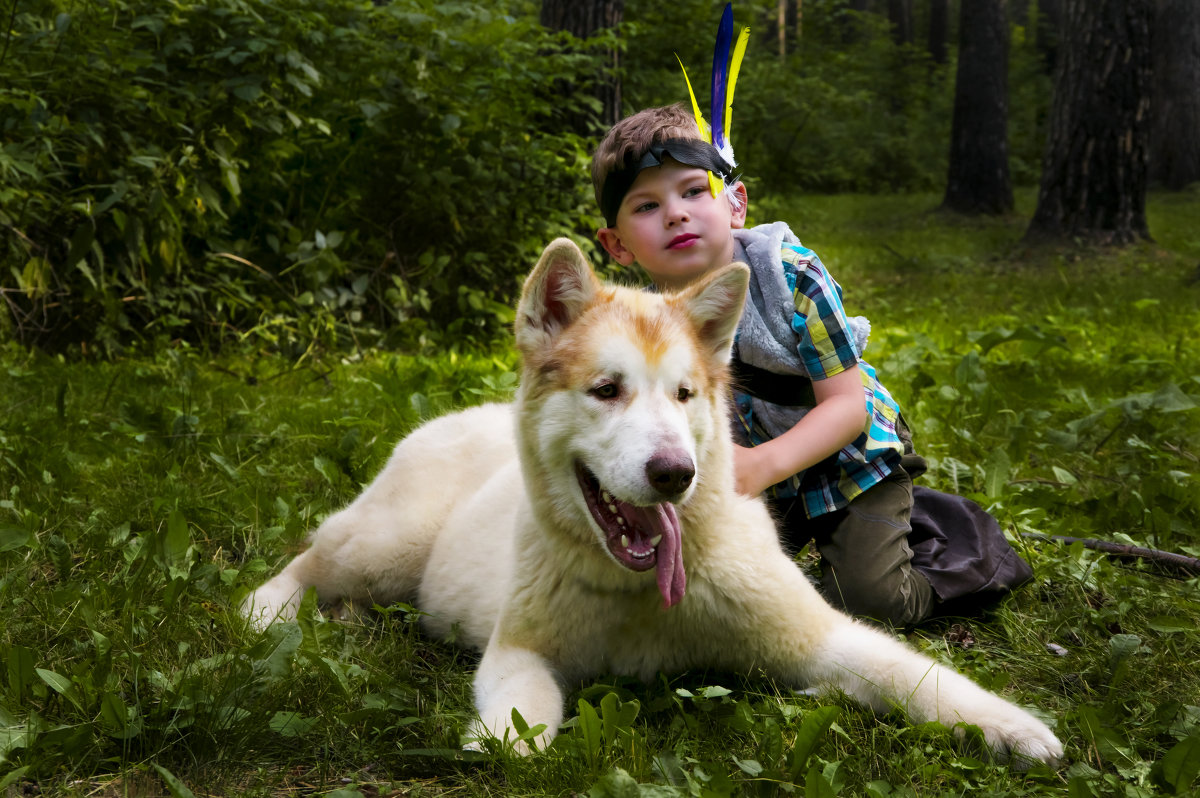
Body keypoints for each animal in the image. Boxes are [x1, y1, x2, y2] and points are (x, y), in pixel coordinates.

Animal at [241, 236, 1060, 768]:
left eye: (685, 395)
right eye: (607, 390)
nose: (673, 474)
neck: (642, 594)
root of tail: (457, 415)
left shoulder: (819, 641)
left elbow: (921, 679)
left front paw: (1013, 729)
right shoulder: (519, 650)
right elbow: (525, 716)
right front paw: (501, 744)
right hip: (387, 544)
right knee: (308, 558)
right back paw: (269, 613)